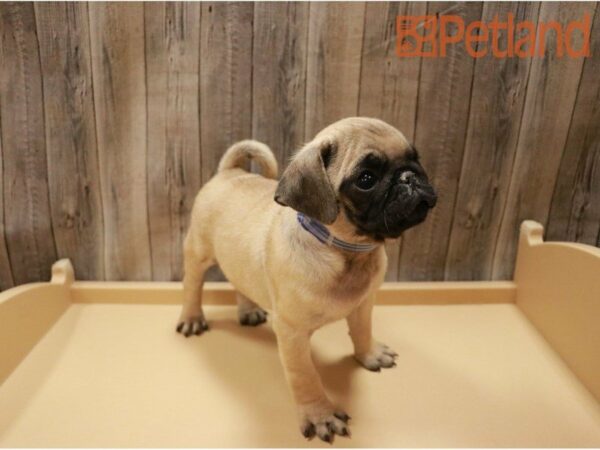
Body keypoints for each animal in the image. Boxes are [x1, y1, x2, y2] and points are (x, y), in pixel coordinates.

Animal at [177, 117, 436, 442]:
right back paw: (191, 317)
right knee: (192, 285)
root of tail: (229, 172)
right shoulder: (292, 333)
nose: (409, 176)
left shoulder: (364, 304)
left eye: (416, 158)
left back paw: (248, 310)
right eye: (366, 179)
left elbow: (362, 331)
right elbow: (306, 377)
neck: (346, 251)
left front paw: (370, 354)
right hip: (198, 253)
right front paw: (321, 415)